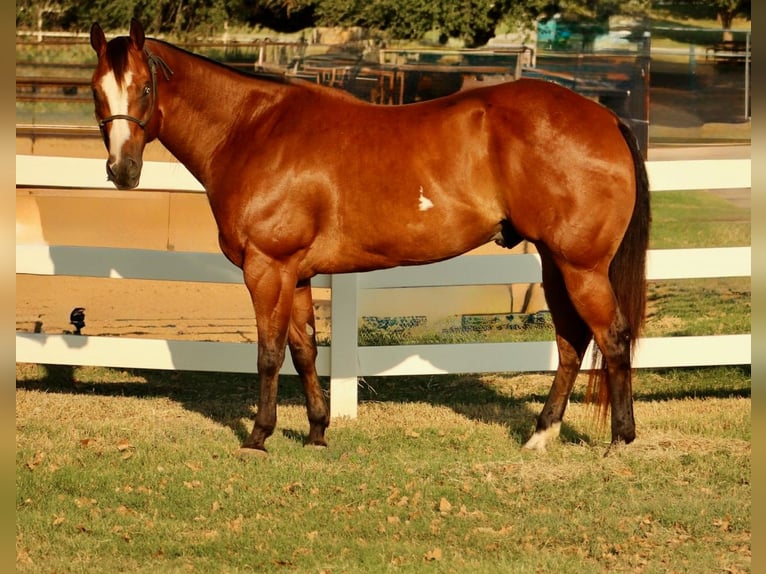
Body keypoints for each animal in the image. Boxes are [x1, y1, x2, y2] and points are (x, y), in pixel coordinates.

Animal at [89, 19, 650, 454]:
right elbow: (305, 351)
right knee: (572, 341)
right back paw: (541, 435)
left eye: (144, 87)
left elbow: (269, 352)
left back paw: (620, 439)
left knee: (612, 336)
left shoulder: (266, 267)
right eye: (97, 90)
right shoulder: (295, 273)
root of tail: (604, 116)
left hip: (580, 266)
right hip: (556, 264)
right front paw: (317, 432)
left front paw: (258, 436)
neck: (252, 130)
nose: (121, 170)